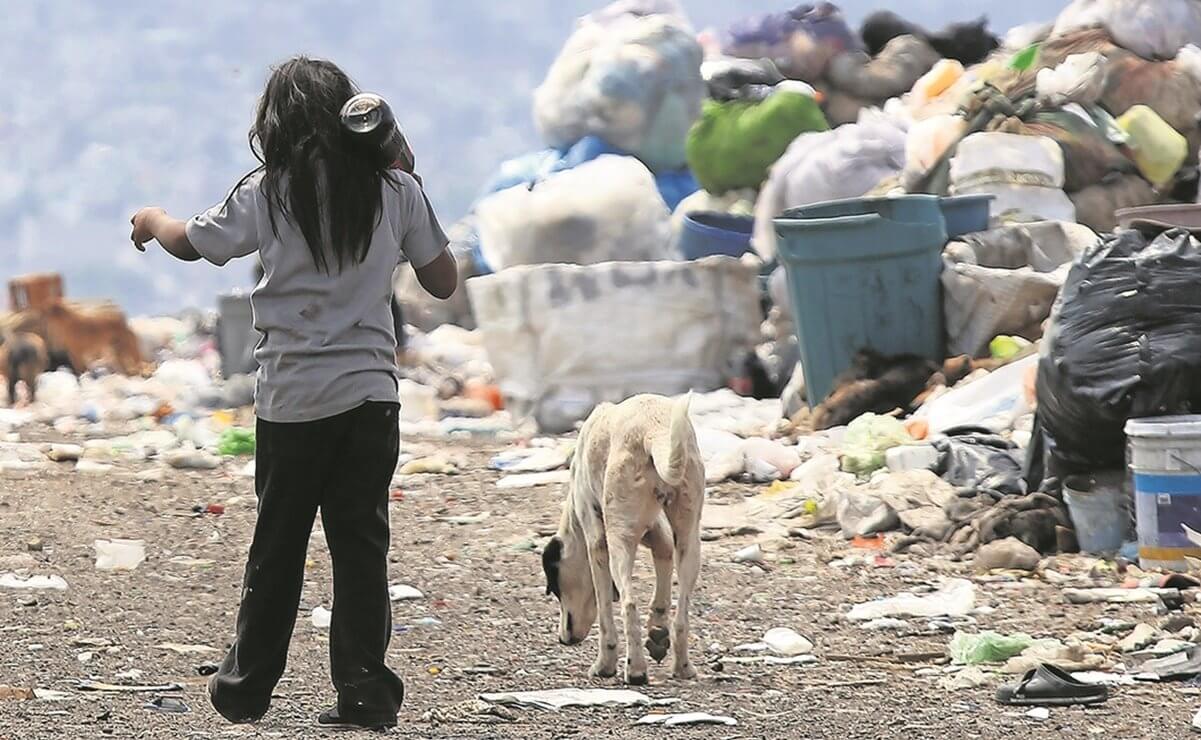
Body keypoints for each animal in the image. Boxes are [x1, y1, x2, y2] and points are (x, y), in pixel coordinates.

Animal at [545, 396, 701, 687]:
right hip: (689, 539)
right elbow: (663, 560)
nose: (563, 639)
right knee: (682, 615)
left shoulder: (597, 541)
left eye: (555, 588)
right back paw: (682, 666)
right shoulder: (658, 532)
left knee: (629, 604)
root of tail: (653, 430)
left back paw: (635, 669)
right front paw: (657, 631)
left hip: (620, 540)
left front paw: (605, 664)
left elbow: (606, 610)